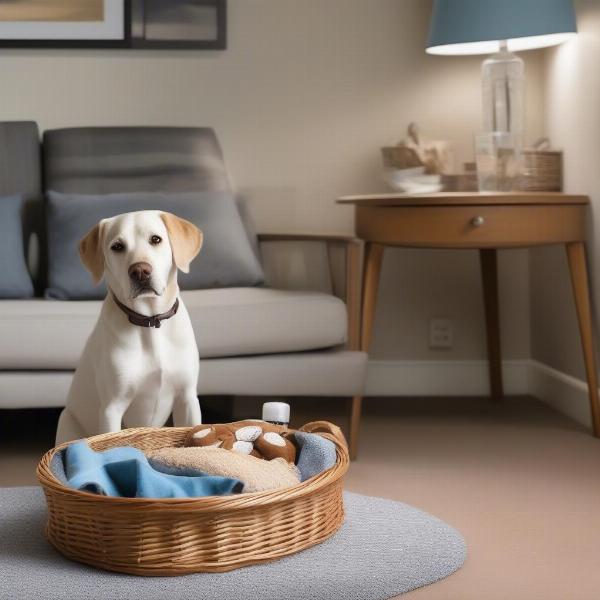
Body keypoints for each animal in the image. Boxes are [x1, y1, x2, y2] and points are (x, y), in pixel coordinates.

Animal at [55, 211, 204, 446]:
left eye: (156, 239)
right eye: (117, 246)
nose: (140, 271)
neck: (151, 322)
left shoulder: (187, 399)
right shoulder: (111, 408)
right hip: (67, 421)